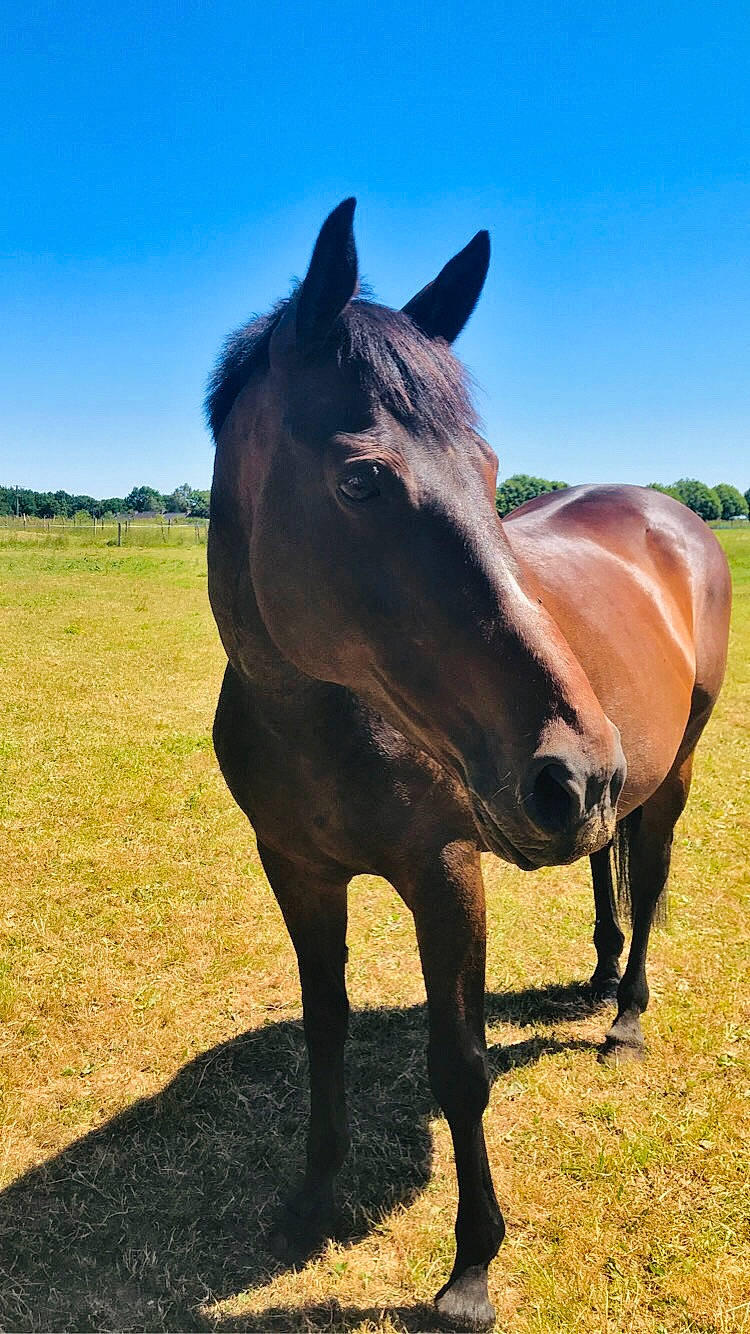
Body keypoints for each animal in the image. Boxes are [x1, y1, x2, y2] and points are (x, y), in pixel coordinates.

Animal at [206, 199, 731, 1330]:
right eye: (363, 478)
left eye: (491, 476)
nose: (573, 767)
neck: (324, 717)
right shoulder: (296, 870)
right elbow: (325, 1032)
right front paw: (310, 1202)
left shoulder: (447, 872)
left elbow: (461, 1067)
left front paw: (471, 1269)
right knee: (608, 859)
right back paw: (598, 968)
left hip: (668, 775)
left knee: (650, 873)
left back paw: (626, 1015)